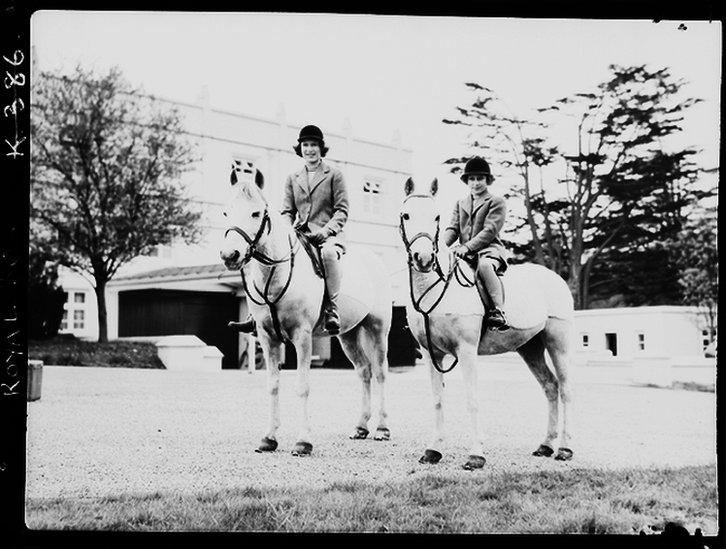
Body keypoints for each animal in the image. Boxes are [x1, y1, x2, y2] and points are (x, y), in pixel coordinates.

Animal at [222, 162, 392, 454]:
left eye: (255, 213)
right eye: (226, 211)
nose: (229, 255)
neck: (275, 275)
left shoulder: (302, 336)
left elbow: (302, 386)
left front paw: (303, 442)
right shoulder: (268, 338)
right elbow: (272, 385)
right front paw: (269, 438)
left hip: (378, 329)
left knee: (380, 372)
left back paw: (381, 429)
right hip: (348, 335)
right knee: (364, 371)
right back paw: (360, 428)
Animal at [398, 178, 576, 468]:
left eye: (436, 216)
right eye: (406, 215)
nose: (423, 259)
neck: (436, 289)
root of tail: (554, 277)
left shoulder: (467, 351)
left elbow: (472, 399)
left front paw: (476, 454)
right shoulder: (430, 353)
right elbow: (437, 400)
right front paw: (434, 450)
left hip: (558, 342)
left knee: (566, 389)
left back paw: (565, 448)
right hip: (530, 347)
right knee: (550, 386)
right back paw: (546, 445)